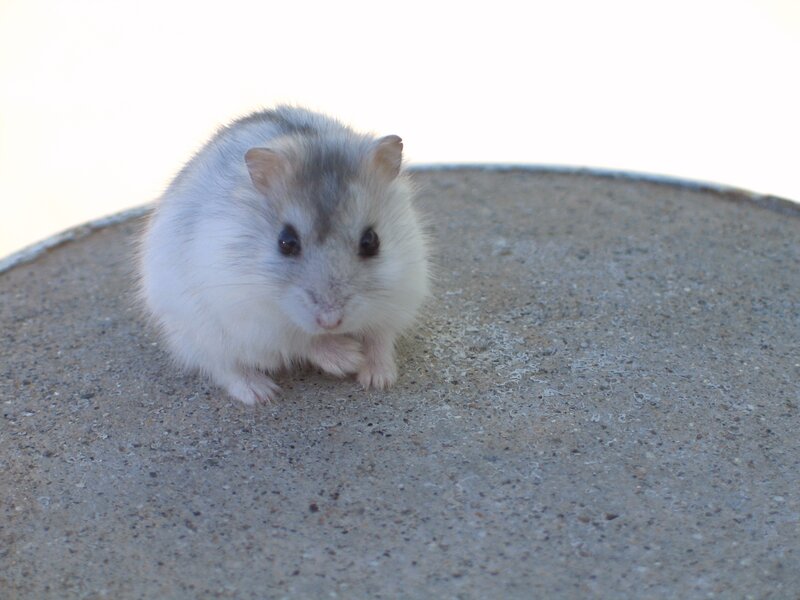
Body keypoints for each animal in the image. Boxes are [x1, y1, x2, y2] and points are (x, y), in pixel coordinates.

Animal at [139, 106, 430, 405]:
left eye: (371, 241)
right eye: (286, 242)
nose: (330, 322)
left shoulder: (397, 300)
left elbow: (379, 340)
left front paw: (378, 380)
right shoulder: (254, 321)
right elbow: (303, 341)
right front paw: (350, 358)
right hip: (198, 333)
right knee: (224, 368)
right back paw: (260, 393)